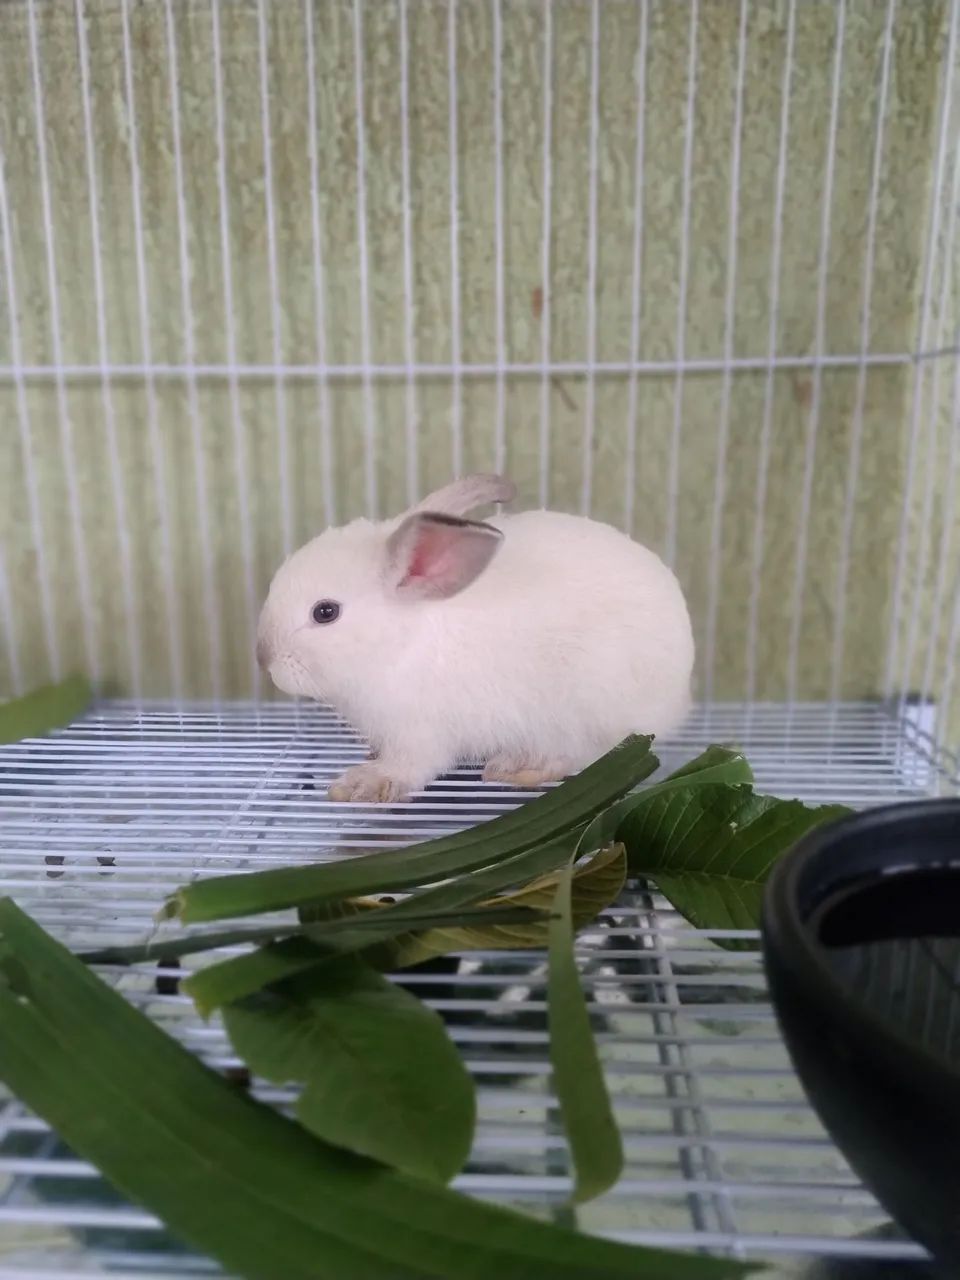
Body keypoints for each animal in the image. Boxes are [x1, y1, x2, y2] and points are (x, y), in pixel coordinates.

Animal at [256, 474, 694, 803]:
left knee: (579, 755)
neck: (400, 645)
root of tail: (678, 692)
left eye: (325, 612)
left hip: (585, 711)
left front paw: (359, 784)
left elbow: (408, 767)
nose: (264, 658)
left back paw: (517, 768)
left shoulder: (419, 734)